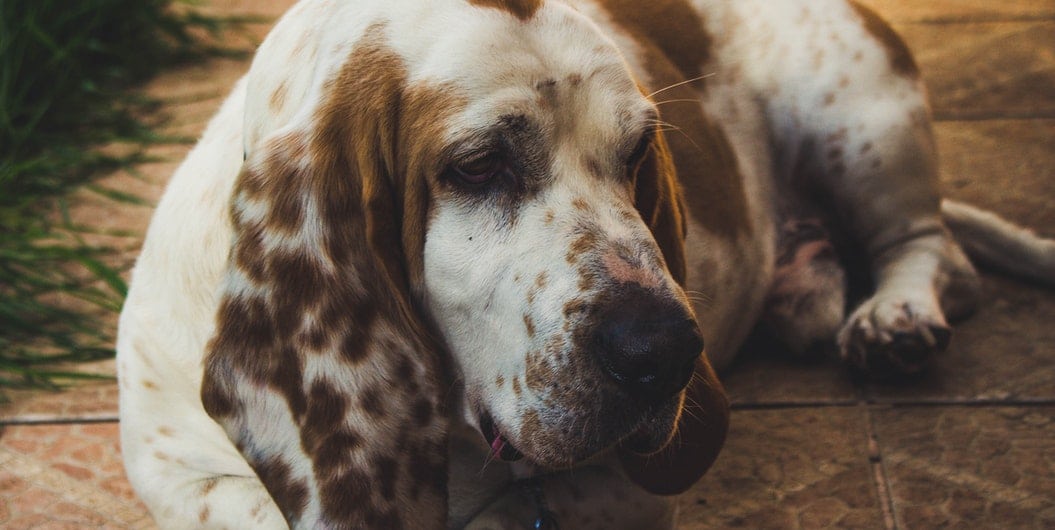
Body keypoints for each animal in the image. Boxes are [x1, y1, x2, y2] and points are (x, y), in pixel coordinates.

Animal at [117, 0, 1055, 527]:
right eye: (477, 166)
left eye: (638, 155)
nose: (667, 355)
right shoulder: (179, 475)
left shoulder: (623, 495)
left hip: (861, 121)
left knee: (929, 250)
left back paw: (896, 317)